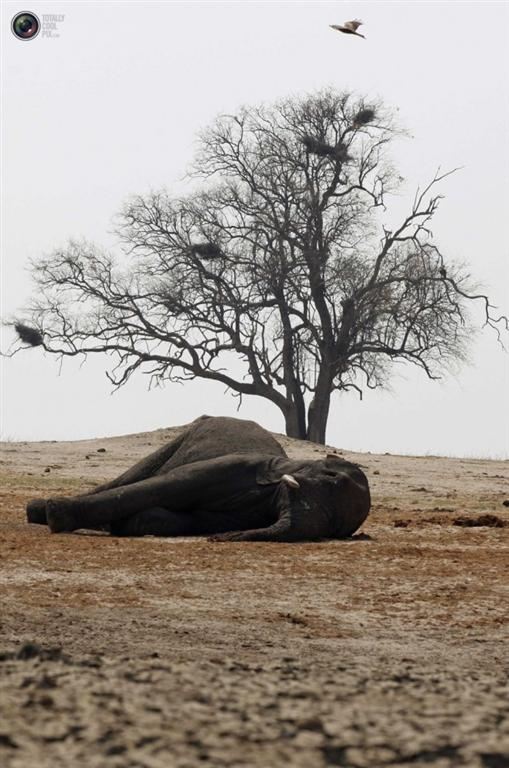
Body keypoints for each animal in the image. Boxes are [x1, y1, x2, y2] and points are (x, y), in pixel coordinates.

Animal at [26, 416, 370, 544]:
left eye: (332, 525)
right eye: (330, 477)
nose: (219, 540)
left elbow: (162, 517)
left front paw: (122, 525)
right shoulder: (236, 466)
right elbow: (162, 488)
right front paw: (57, 516)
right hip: (183, 435)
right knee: (131, 479)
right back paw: (38, 511)